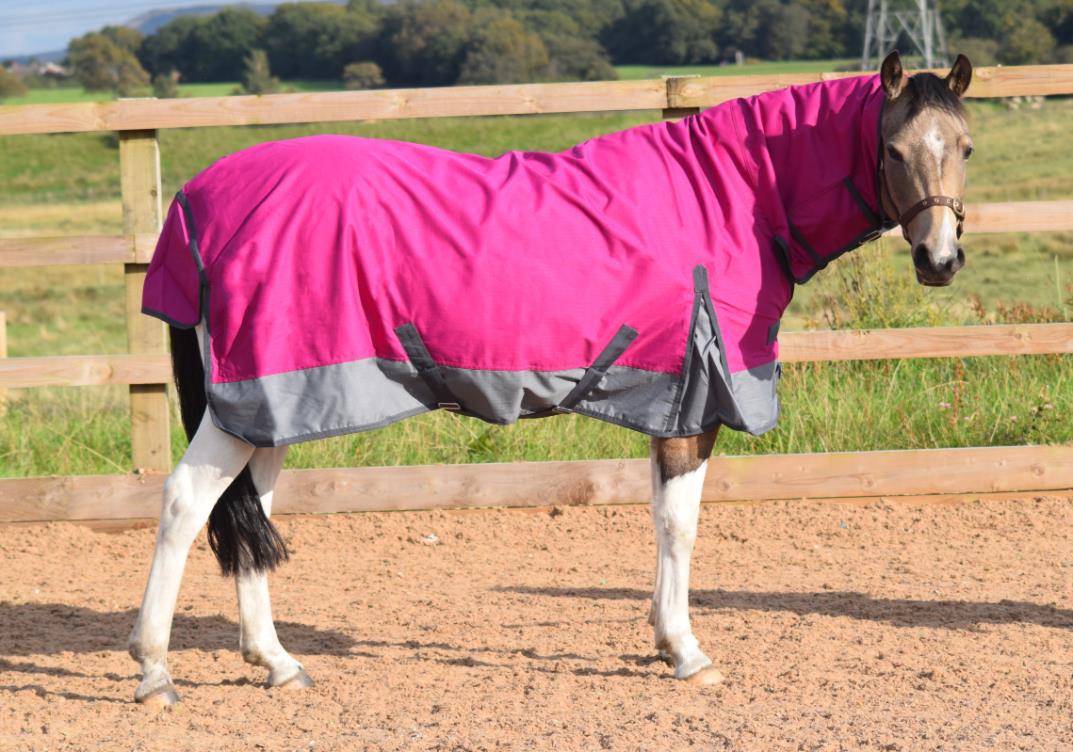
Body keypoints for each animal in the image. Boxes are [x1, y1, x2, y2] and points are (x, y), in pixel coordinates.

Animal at [128, 51, 973, 706]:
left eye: (962, 145)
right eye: (893, 150)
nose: (938, 260)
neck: (732, 198)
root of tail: (198, 202)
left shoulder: (665, 403)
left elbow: (660, 521)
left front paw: (664, 640)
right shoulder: (694, 403)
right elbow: (680, 525)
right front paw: (686, 652)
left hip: (271, 404)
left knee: (248, 517)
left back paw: (276, 662)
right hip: (247, 399)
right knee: (184, 505)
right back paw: (154, 669)